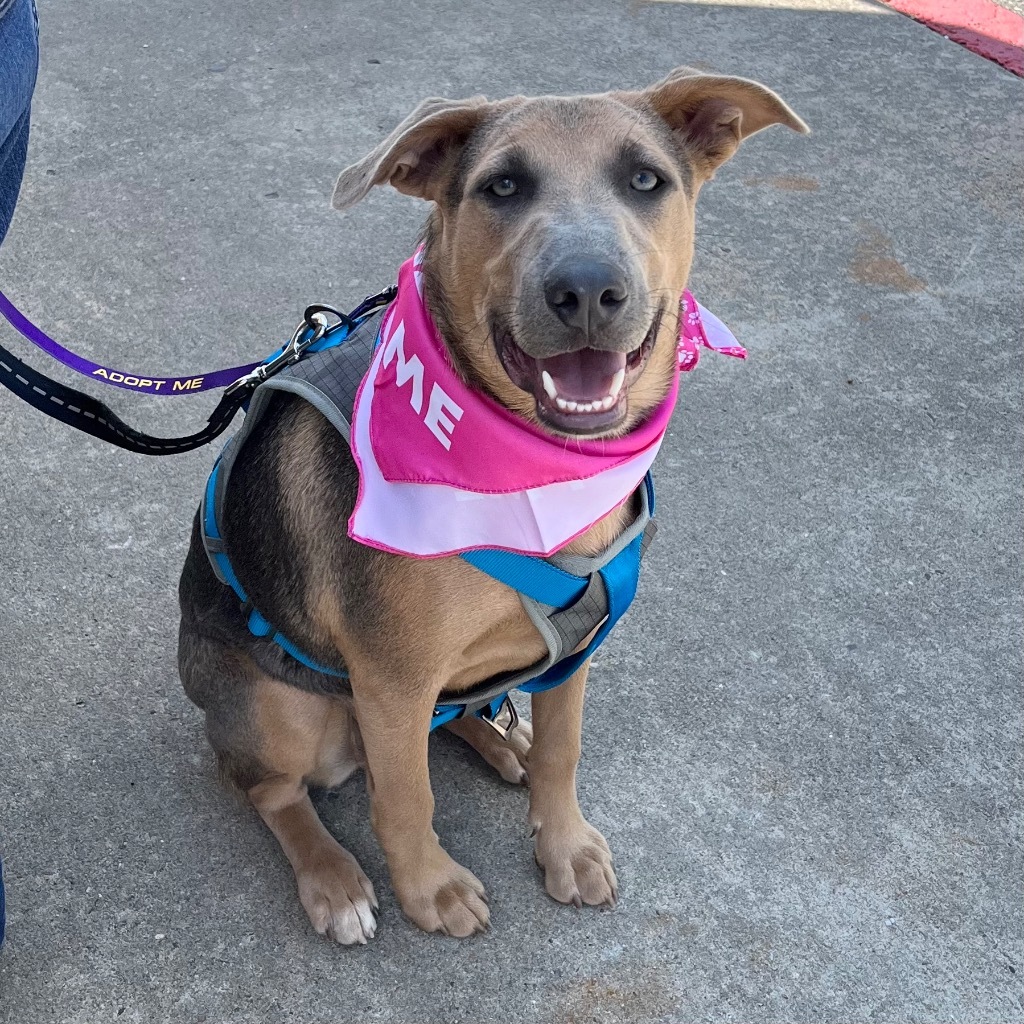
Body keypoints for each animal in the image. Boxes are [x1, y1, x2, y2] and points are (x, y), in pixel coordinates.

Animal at [178, 66, 806, 942]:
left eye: (647, 180)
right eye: (501, 186)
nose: (588, 290)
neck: (528, 474)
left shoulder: (578, 646)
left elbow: (563, 751)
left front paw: (564, 843)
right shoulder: (393, 681)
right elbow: (405, 798)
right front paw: (429, 888)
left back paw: (498, 735)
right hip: (282, 710)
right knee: (274, 789)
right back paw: (333, 879)